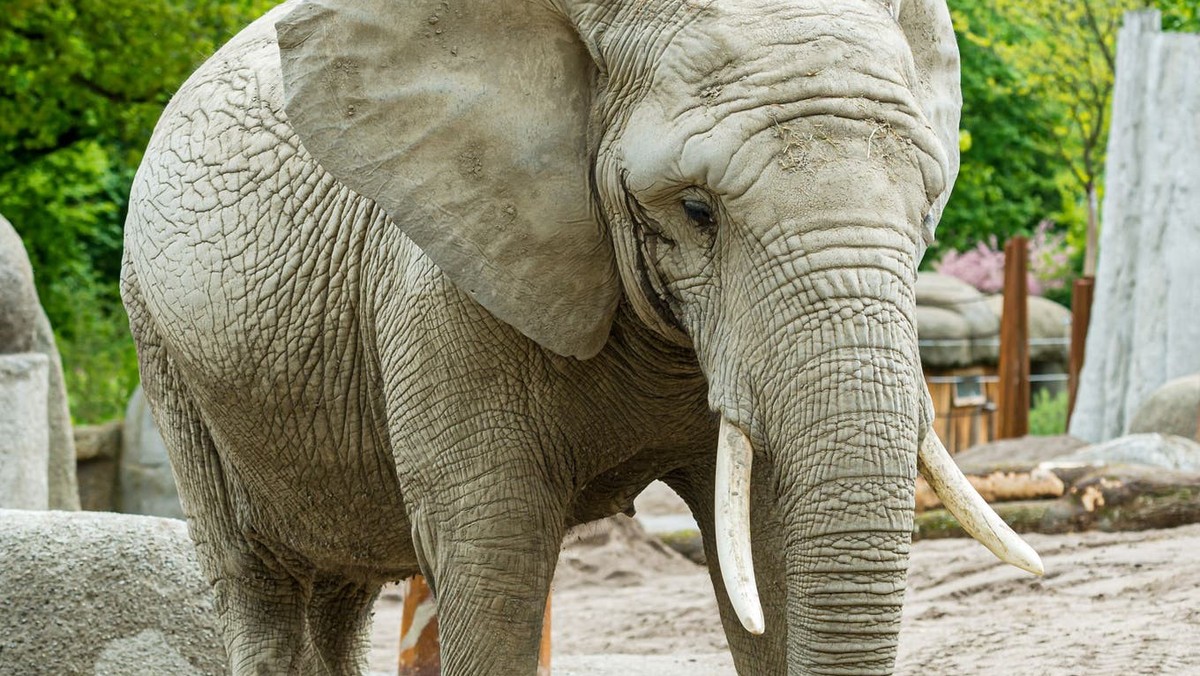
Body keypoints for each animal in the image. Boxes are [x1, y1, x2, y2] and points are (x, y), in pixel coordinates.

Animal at [121, 0, 1042, 673]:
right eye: (697, 211)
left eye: (927, 208)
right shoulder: (440, 289)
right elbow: (493, 559)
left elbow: (769, 540)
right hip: (166, 351)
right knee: (262, 585)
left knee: (341, 593)